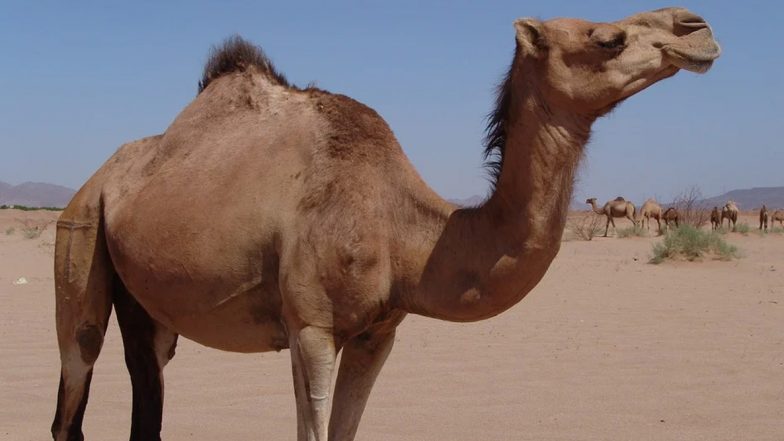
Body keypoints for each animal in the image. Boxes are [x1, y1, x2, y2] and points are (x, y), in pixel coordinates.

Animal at [51, 8, 719, 441]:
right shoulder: (311, 325)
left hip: (145, 298)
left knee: (147, 387)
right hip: (80, 231)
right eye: (608, 37)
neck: (405, 232)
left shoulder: (379, 332)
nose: (699, 28)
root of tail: (99, 179)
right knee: (73, 386)